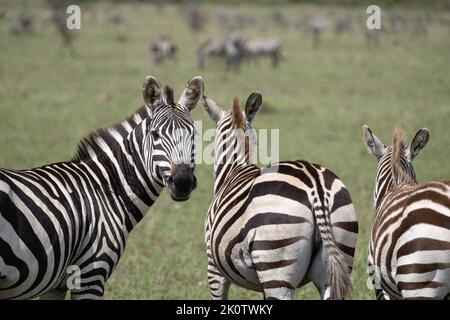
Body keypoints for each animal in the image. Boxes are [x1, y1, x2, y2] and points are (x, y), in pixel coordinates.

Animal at [0, 75, 204, 300]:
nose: (183, 181)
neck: (105, 190)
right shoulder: (91, 273)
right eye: (155, 134)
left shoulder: (56, 286)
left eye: (193, 135)